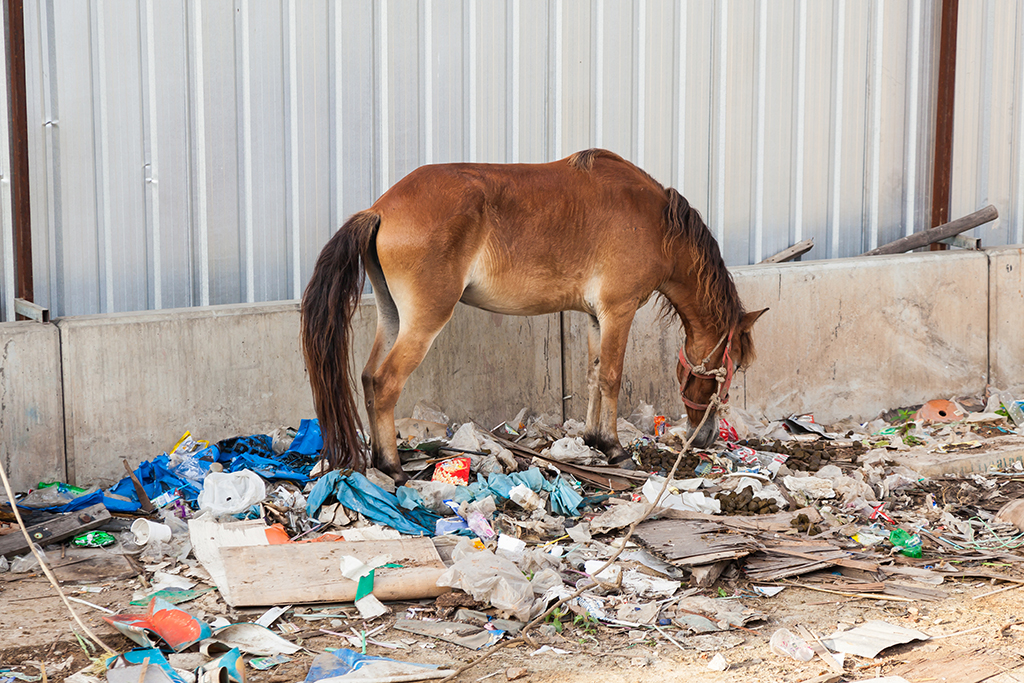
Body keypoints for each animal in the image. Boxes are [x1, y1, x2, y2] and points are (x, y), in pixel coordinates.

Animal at [303, 147, 770, 483]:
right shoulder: (618, 311)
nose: (706, 437)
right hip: (424, 321)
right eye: (733, 365)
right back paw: (394, 469)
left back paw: (381, 461)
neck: (655, 221)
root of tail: (380, 209)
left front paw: (594, 440)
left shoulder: (597, 317)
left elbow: (593, 375)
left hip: (393, 316)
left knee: (368, 378)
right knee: (385, 383)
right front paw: (616, 450)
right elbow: (612, 376)